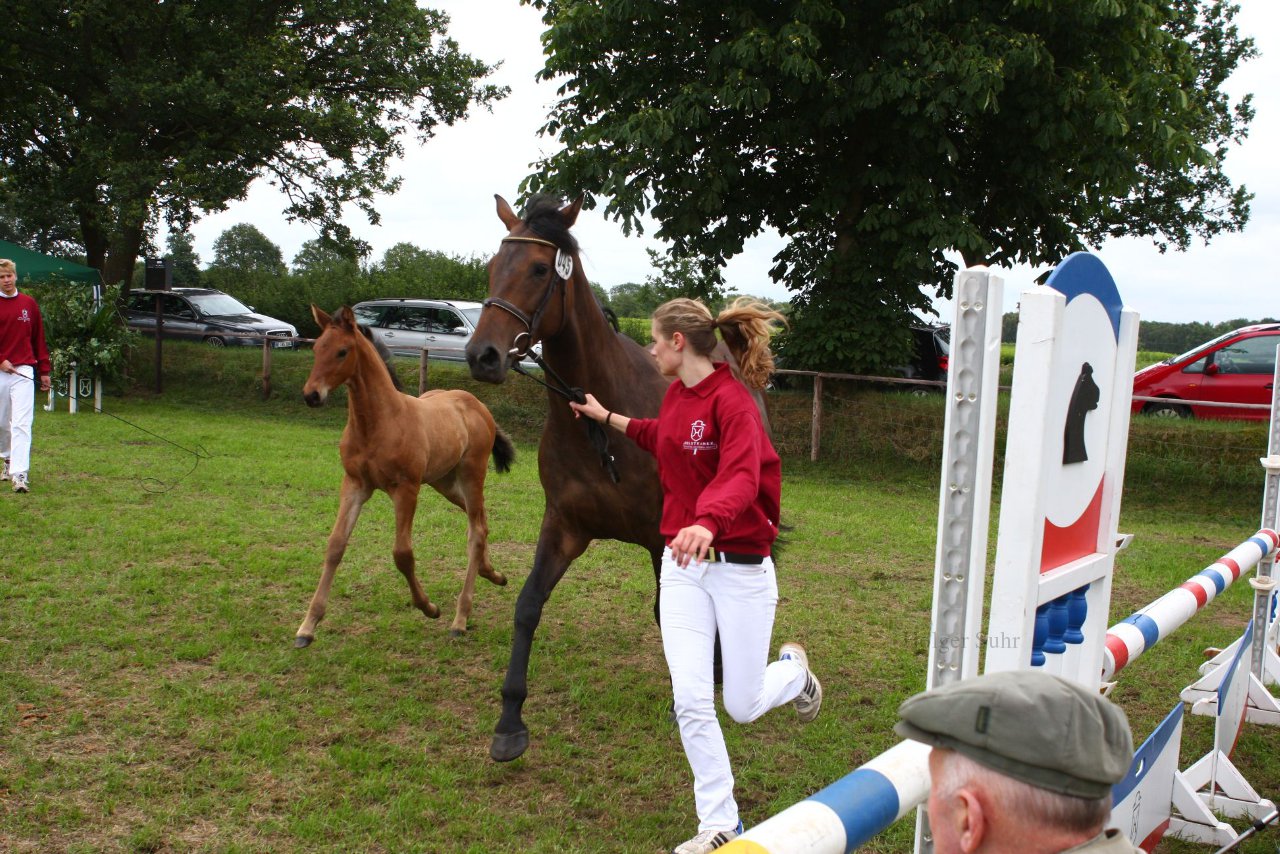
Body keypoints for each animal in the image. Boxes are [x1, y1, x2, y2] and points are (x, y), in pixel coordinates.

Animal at [299, 303, 514, 645]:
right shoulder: (355, 485)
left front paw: (428, 607)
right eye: (316, 348)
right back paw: (491, 573)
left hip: (471, 474)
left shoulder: (406, 489)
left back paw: (460, 618)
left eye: (342, 352)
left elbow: (402, 553)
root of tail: (478, 405)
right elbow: (335, 546)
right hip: (444, 482)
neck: (378, 423)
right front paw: (308, 625)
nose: (312, 395)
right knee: (479, 521)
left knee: (477, 529)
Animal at [465, 195, 675, 763]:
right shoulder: (563, 526)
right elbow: (527, 606)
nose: (482, 356)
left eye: (541, 270)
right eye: (492, 267)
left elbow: (669, 614)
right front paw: (510, 721)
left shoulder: (661, 538)